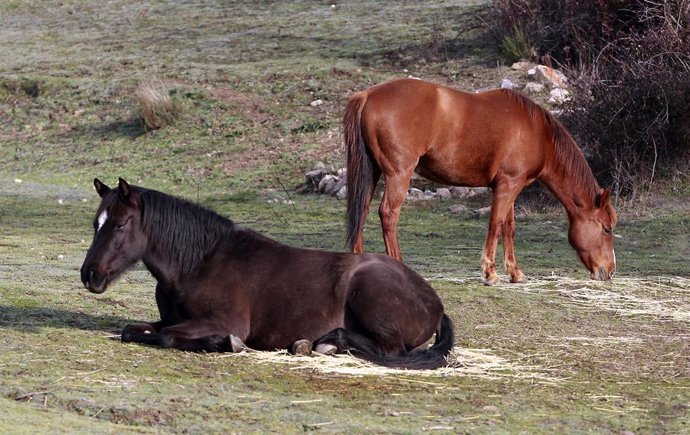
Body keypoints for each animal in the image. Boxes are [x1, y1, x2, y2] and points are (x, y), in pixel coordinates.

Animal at [79, 179, 452, 370]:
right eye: (97, 221)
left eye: (120, 224)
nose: (89, 274)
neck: (200, 262)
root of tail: (435, 301)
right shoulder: (170, 318)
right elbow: (134, 330)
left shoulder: (223, 321)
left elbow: (167, 336)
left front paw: (224, 344)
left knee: (392, 352)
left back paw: (325, 343)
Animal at [342, 77, 616, 286]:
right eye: (606, 228)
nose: (610, 271)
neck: (539, 133)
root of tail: (368, 95)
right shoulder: (507, 186)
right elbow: (496, 224)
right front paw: (490, 272)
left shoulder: (511, 187)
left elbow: (509, 226)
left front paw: (514, 272)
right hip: (399, 175)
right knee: (388, 214)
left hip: (373, 173)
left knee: (362, 211)